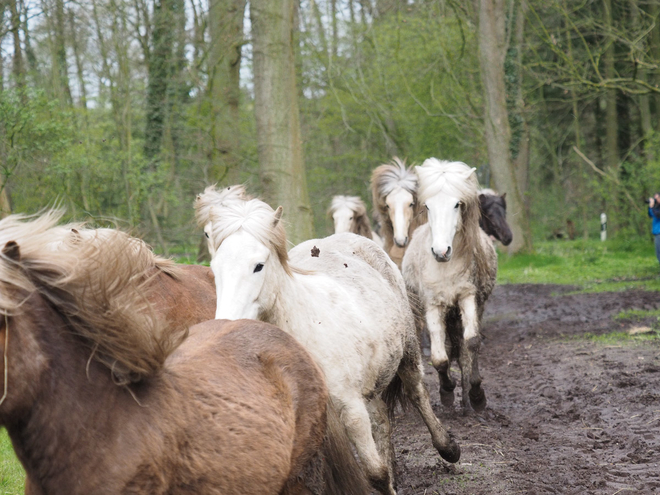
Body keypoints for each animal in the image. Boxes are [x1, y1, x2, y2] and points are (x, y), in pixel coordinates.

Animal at [202, 196, 458, 495]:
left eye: (258, 266)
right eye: (216, 269)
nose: (225, 324)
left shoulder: (350, 409)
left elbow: (375, 473)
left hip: (406, 353)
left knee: (417, 394)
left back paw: (448, 448)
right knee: (382, 421)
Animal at [400, 159, 498, 414]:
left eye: (457, 204)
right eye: (427, 206)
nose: (441, 251)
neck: (445, 267)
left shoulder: (467, 297)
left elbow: (471, 343)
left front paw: (476, 394)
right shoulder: (433, 306)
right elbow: (439, 358)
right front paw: (446, 392)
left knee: (463, 350)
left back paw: (466, 400)